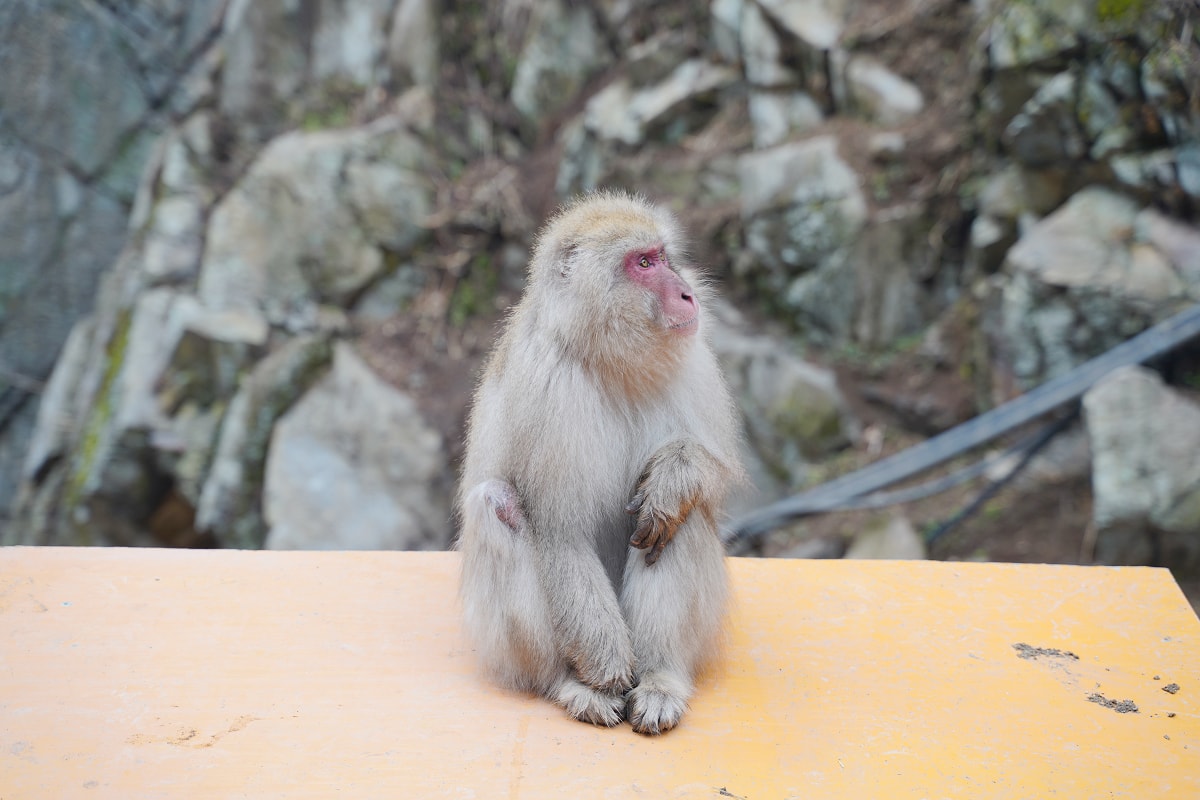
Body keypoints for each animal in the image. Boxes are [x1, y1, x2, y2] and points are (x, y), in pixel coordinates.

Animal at [457, 191, 743, 735]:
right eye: (643, 264)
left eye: (664, 256)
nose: (687, 295)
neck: (609, 358)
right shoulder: (545, 386)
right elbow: (558, 531)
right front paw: (606, 669)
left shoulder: (695, 359)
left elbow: (713, 477)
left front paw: (676, 476)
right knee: (497, 503)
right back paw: (569, 684)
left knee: (684, 517)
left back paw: (660, 680)